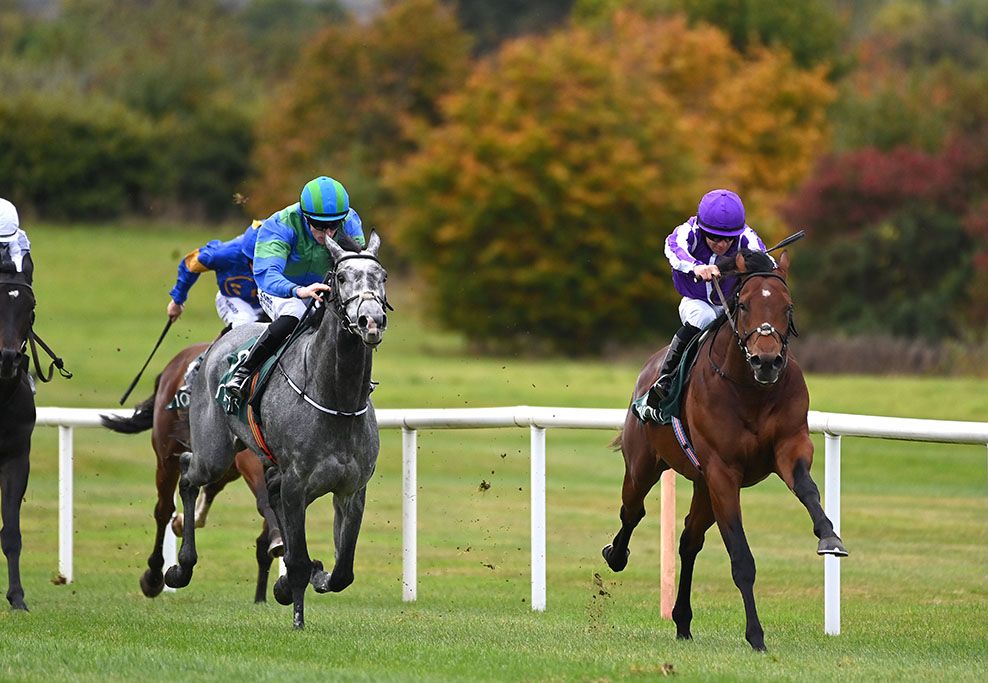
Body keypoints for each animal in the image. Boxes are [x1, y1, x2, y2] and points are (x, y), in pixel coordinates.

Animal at [103, 344, 284, 600]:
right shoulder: (250, 456)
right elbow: (265, 502)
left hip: (220, 464)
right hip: (168, 457)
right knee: (164, 510)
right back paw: (154, 576)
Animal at [164, 231, 388, 632]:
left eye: (383, 276)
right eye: (341, 277)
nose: (371, 321)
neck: (337, 400)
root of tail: (222, 340)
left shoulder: (351, 488)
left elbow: (342, 571)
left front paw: (316, 575)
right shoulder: (298, 482)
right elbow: (297, 559)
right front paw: (297, 613)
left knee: (268, 490)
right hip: (216, 453)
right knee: (189, 472)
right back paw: (181, 567)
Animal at [604, 250, 848, 652]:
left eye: (788, 306)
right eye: (744, 304)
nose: (767, 361)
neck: (751, 390)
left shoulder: (789, 445)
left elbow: (808, 488)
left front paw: (829, 536)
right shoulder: (722, 471)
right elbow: (741, 558)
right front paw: (756, 635)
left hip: (702, 486)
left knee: (689, 541)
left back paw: (682, 620)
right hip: (644, 465)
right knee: (633, 511)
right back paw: (616, 555)